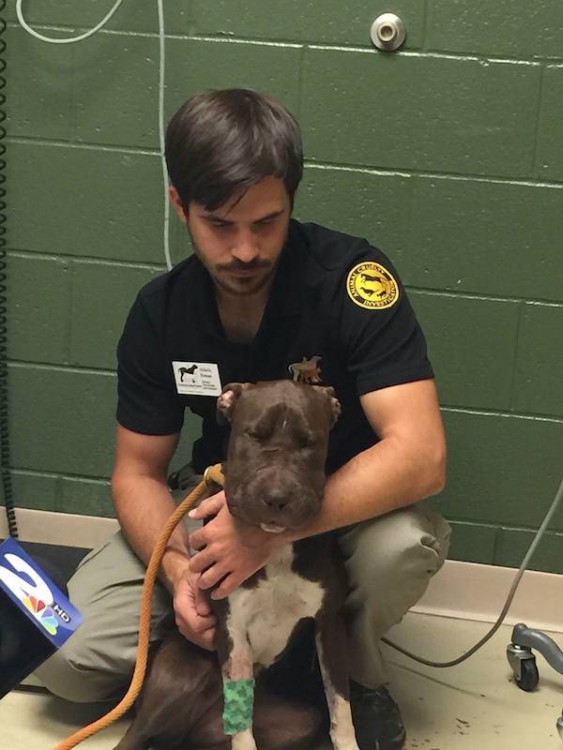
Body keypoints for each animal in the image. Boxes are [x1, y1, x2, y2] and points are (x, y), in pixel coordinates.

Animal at [115, 382, 362, 750]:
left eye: (309, 442)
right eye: (254, 435)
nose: (277, 497)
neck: (274, 547)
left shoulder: (330, 623)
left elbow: (341, 708)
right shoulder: (233, 629)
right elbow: (242, 725)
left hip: (295, 724)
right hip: (179, 678)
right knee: (133, 737)